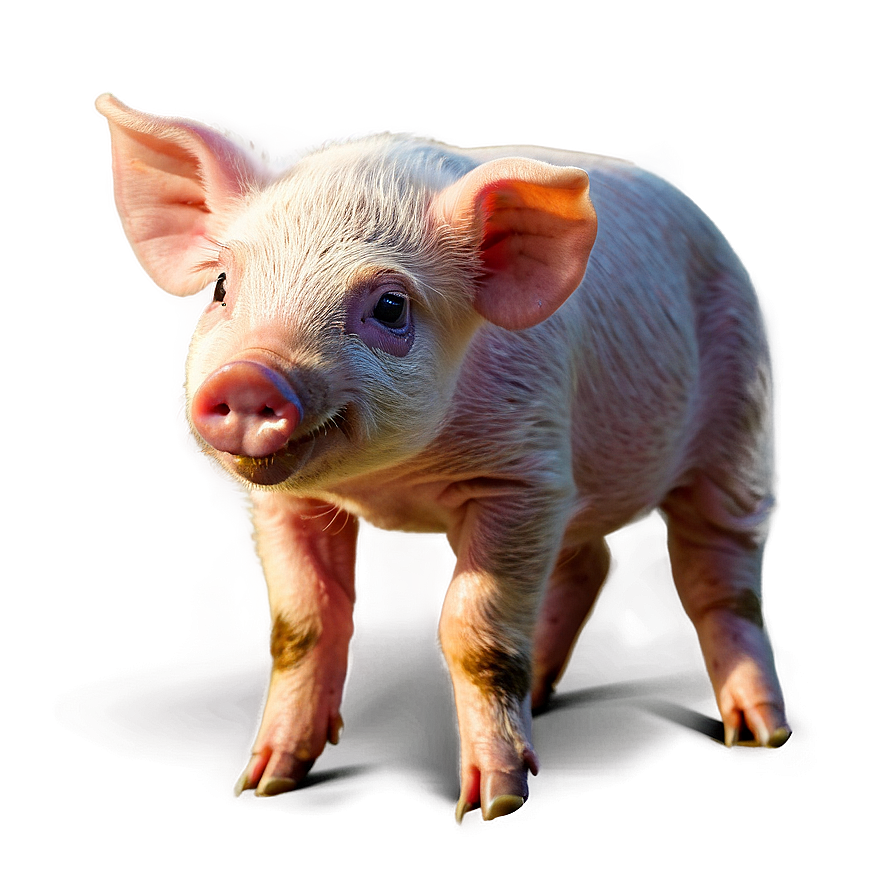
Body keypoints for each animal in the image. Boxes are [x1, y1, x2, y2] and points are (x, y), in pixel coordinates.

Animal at [96, 93, 790, 822]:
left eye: (390, 305)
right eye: (222, 287)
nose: (248, 376)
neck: (392, 485)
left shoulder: (519, 478)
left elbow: (473, 632)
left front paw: (495, 803)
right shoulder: (287, 502)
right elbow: (303, 624)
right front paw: (266, 784)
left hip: (741, 416)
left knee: (721, 573)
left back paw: (760, 733)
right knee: (587, 563)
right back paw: (542, 697)